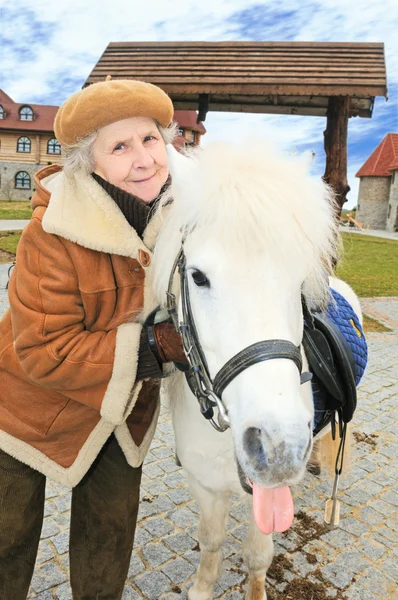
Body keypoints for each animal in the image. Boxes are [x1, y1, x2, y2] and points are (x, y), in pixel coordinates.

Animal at [152, 142, 360, 600]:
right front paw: (201, 587)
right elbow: (210, 540)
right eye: (197, 276)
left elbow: (256, 557)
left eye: (300, 282)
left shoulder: (270, 495)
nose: (280, 450)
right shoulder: (205, 486)